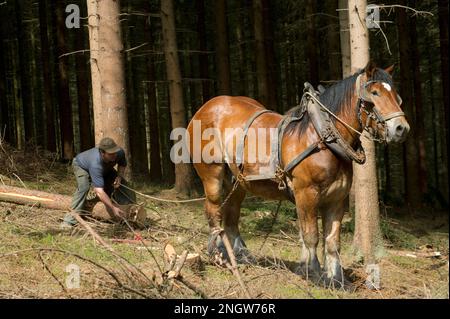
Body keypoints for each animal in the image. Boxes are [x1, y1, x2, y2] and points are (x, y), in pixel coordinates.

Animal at [187, 61, 412, 286]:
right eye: (374, 93)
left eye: (396, 95)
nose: (401, 128)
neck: (323, 137)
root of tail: (204, 108)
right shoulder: (307, 192)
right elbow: (311, 235)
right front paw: (312, 272)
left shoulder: (337, 198)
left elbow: (332, 240)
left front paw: (336, 279)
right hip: (212, 175)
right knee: (213, 211)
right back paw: (218, 253)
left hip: (238, 181)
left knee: (231, 214)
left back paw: (240, 254)